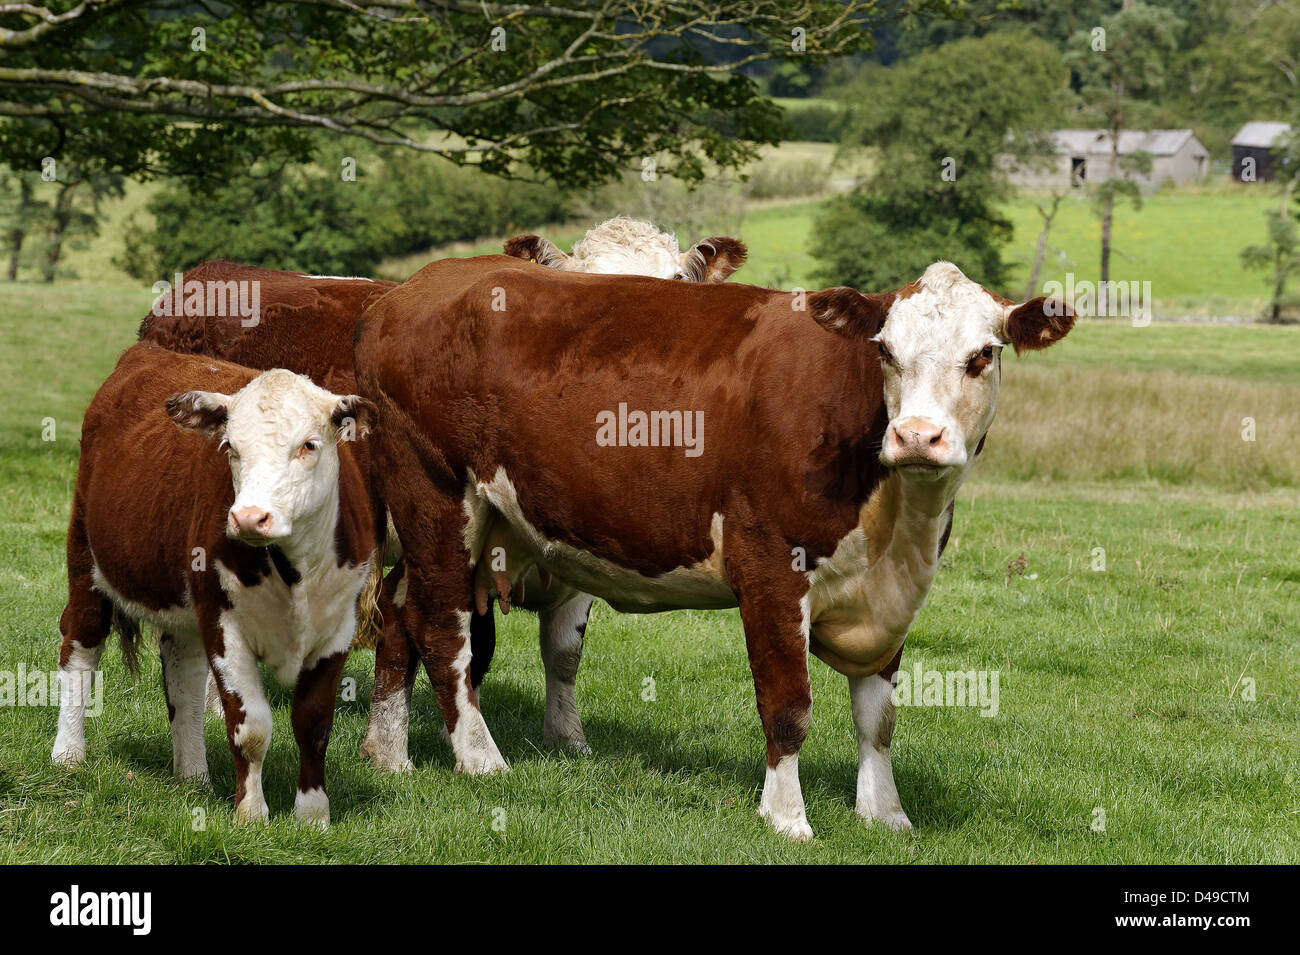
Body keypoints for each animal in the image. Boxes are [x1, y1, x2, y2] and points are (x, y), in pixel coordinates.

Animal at [51, 342, 377, 827]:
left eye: (309, 444)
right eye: (230, 446)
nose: (249, 517)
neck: (295, 570)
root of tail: (146, 351)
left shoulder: (337, 630)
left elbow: (314, 725)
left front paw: (313, 815)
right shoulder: (226, 626)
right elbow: (251, 727)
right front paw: (251, 814)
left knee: (183, 679)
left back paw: (193, 774)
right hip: (86, 560)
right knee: (79, 650)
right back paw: (68, 754)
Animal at [353, 258, 1073, 839]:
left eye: (982, 355)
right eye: (887, 352)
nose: (917, 436)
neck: (898, 526)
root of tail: (404, 292)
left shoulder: (890, 595)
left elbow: (878, 717)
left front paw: (886, 814)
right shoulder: (771, 568)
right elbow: (788, 706)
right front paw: (787, 817)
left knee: (399, 612)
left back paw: (389, 751)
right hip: (435, 495)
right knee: (442, 628)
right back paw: (480, 758)